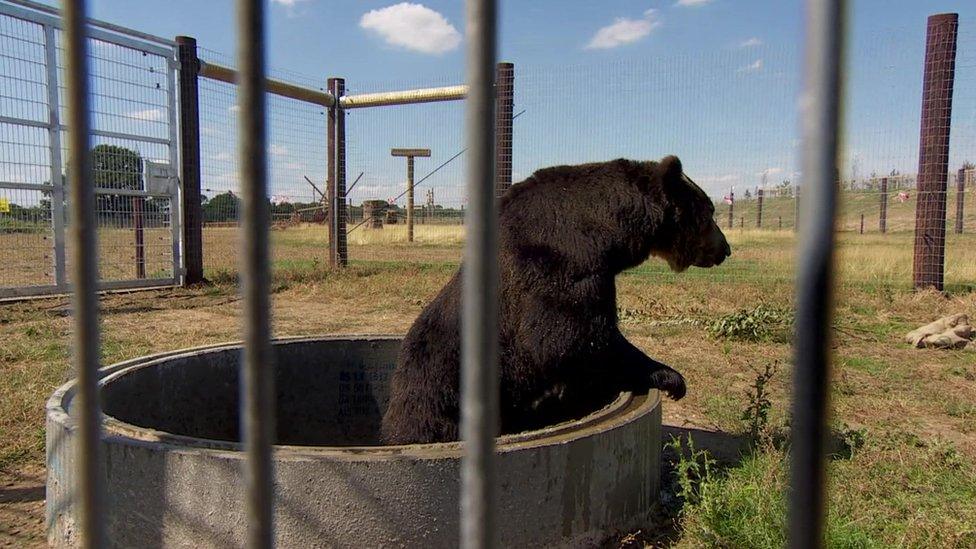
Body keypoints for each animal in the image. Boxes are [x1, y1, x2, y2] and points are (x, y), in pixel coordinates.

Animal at [382, 154, 732, 446]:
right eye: (709, 213)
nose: (725, 249)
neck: (607, 231)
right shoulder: (564, 264)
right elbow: (570, 340)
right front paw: (670, 376)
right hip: (443, 393)